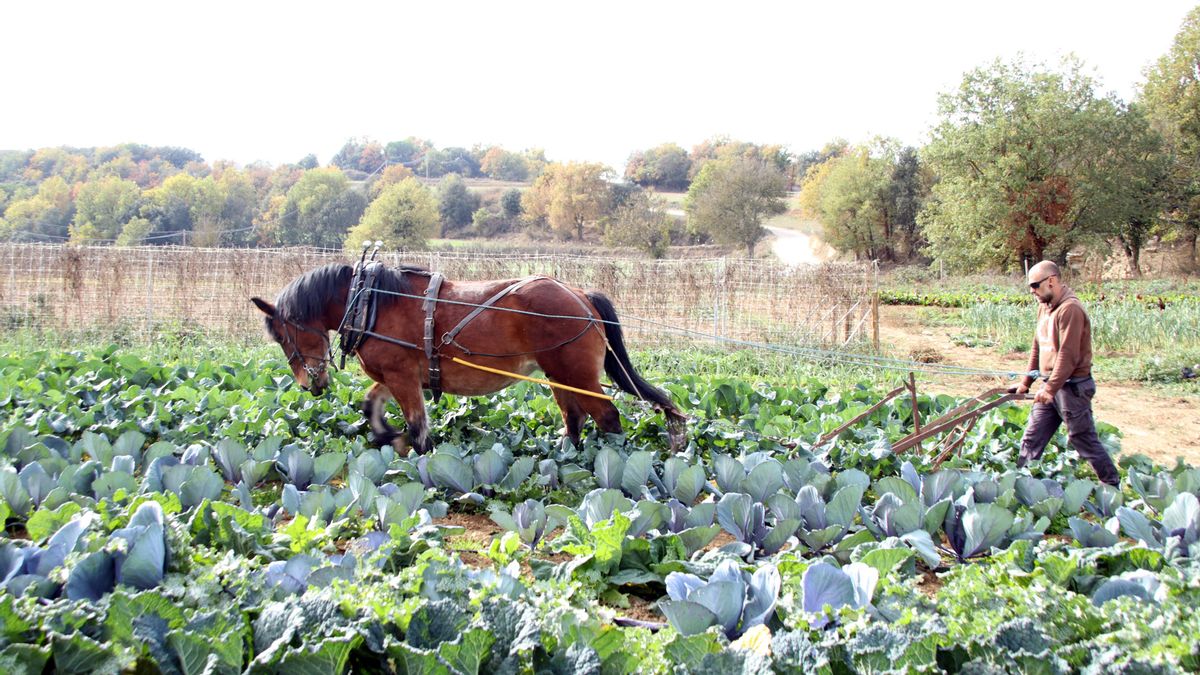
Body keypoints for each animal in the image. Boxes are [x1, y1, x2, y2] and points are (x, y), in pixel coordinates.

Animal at [250, 261, 686, 451]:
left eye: (283, 336)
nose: (311, 385)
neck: (372, 302)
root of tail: (580, 295)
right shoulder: (395, 376)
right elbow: (371, 406)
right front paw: (387, 437)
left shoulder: (402, 376)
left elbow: (416, 426)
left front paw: (417, 456)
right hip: (557, 374)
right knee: (573, 416)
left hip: (577, 373)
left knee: (607, 416)